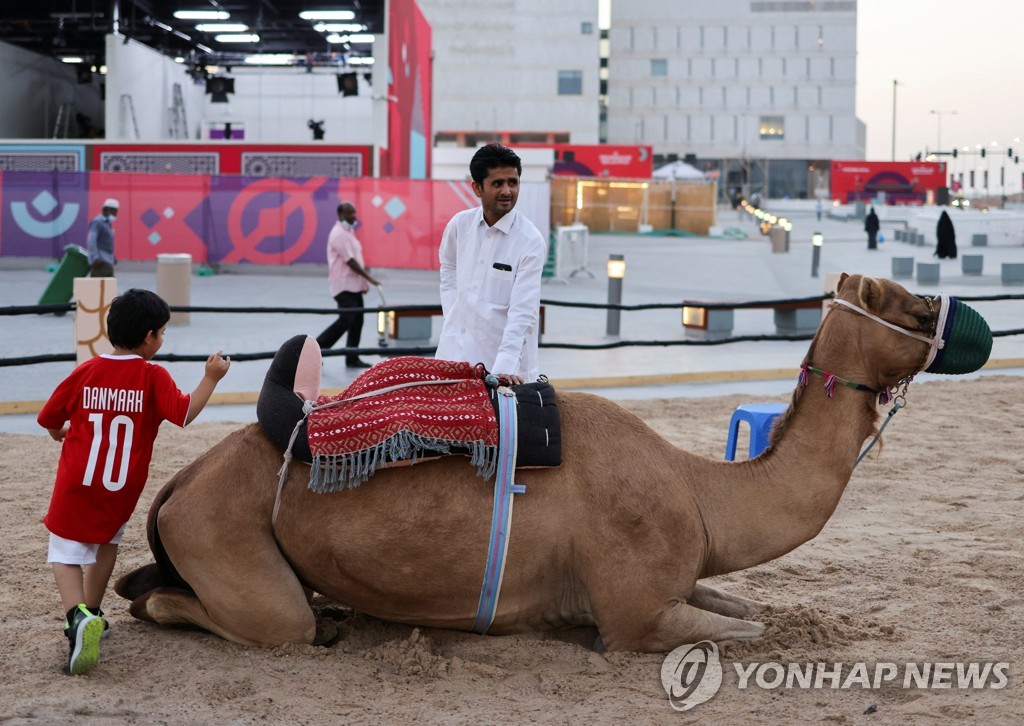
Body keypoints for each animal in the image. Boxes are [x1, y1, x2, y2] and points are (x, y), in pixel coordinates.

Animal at [112, 272, 983, 651]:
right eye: (907, 303)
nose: (962, 319)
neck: (699, 491)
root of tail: (178, 485)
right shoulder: (637, 614)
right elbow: (752, 628)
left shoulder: (680, 576)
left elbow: (745, 607)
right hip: (225, 537)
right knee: (203, 609)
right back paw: (310, 623)